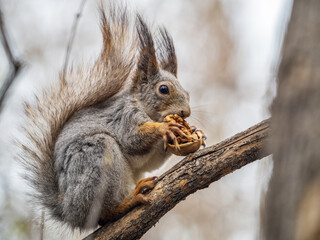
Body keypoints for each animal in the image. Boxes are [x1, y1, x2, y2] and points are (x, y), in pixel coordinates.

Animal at [21, 6, 195, 230]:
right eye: (164, 89)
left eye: (188, 93)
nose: (186, 113)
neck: (146, 109)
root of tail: (69, 212)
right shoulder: (124, 116)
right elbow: (132, 140)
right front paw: (164, 128)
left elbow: (151, 162)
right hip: (98, 160)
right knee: (105, 212)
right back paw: (129, 201)